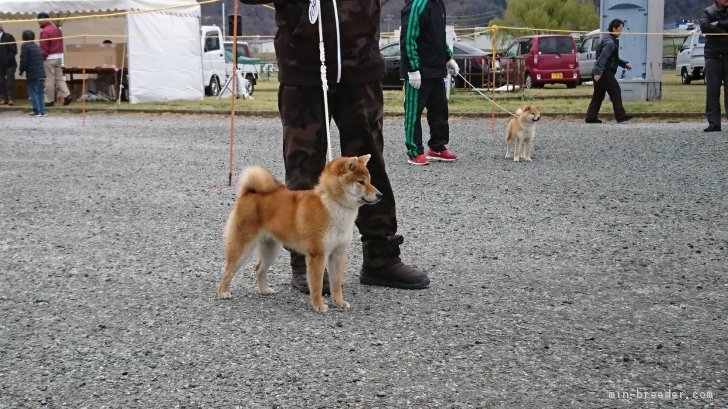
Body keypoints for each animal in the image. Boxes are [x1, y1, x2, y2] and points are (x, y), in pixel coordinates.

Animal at [216, 155, 382, 310]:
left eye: (370, 180)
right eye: (361, 182)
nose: (380, 195)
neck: (333, 205)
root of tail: (249, 193)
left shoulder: (338, 253)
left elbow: (336, 284)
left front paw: (339, 302)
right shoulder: (317, 255)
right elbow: (316, 284)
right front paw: (319, 305)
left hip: (270, 249)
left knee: (259, 269)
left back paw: (264, 290)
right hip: (242, 248)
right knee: (228, 270)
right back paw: (223, 292)